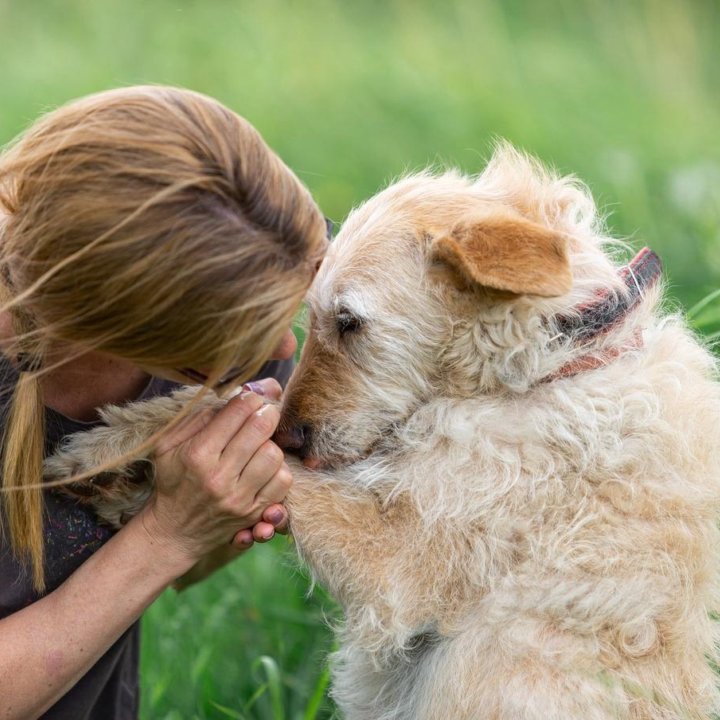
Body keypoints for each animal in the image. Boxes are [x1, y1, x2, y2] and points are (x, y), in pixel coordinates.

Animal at [46, 146, 720, 720]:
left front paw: (118, 458)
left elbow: (275, 467)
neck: (540, 370)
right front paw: (111, 456)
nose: (293, 437)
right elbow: (214, 405)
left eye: (349, 322)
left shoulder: (398, 565)